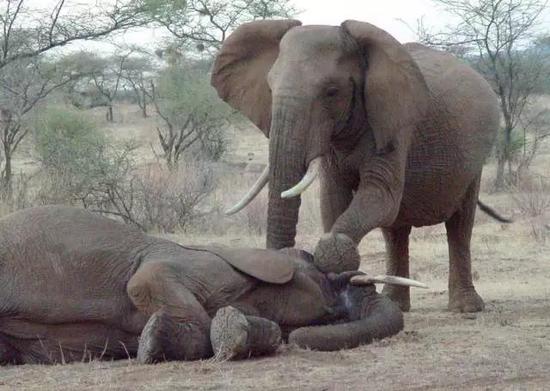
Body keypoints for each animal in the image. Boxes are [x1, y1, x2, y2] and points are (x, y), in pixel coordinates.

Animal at [212, 18, 508, 314]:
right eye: (270, 89)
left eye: (332, 92)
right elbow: (333, 199)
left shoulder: (396, 124)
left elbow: (379, 195)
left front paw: (333, 251)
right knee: (395, 230)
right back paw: (396, 304)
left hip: (475, 159)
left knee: (459, 225)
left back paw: (466, 308)